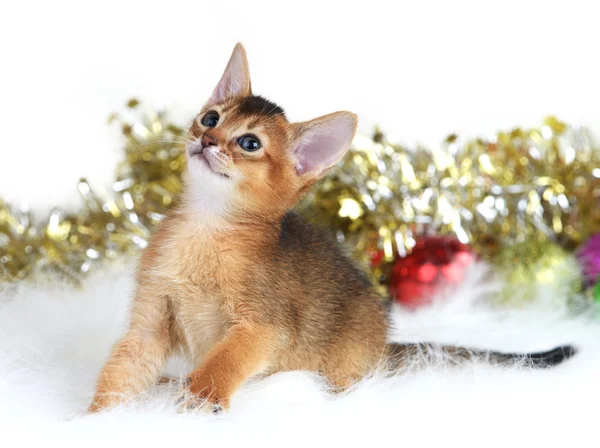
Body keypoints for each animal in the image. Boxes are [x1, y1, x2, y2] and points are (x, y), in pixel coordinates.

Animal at [89, 43, 576, 412]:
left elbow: (220, 367)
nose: (206, 140)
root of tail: (383, 346)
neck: (205, 228)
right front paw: (99, 419)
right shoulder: (151, 320)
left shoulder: (264, 326)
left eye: (249, 143)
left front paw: (195, 405)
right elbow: (122, 371)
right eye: (211, 118)